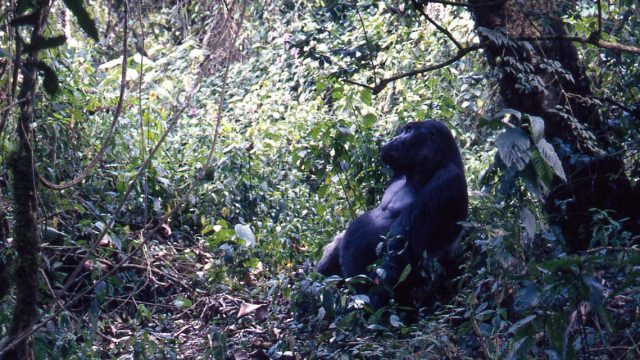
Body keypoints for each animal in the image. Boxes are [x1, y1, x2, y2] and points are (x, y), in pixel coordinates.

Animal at [318, 119, 468, 308]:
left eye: (409, 131)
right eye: (403, 130)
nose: (393, 138)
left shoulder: (445, 181)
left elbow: (399, 246)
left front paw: (373, 302)